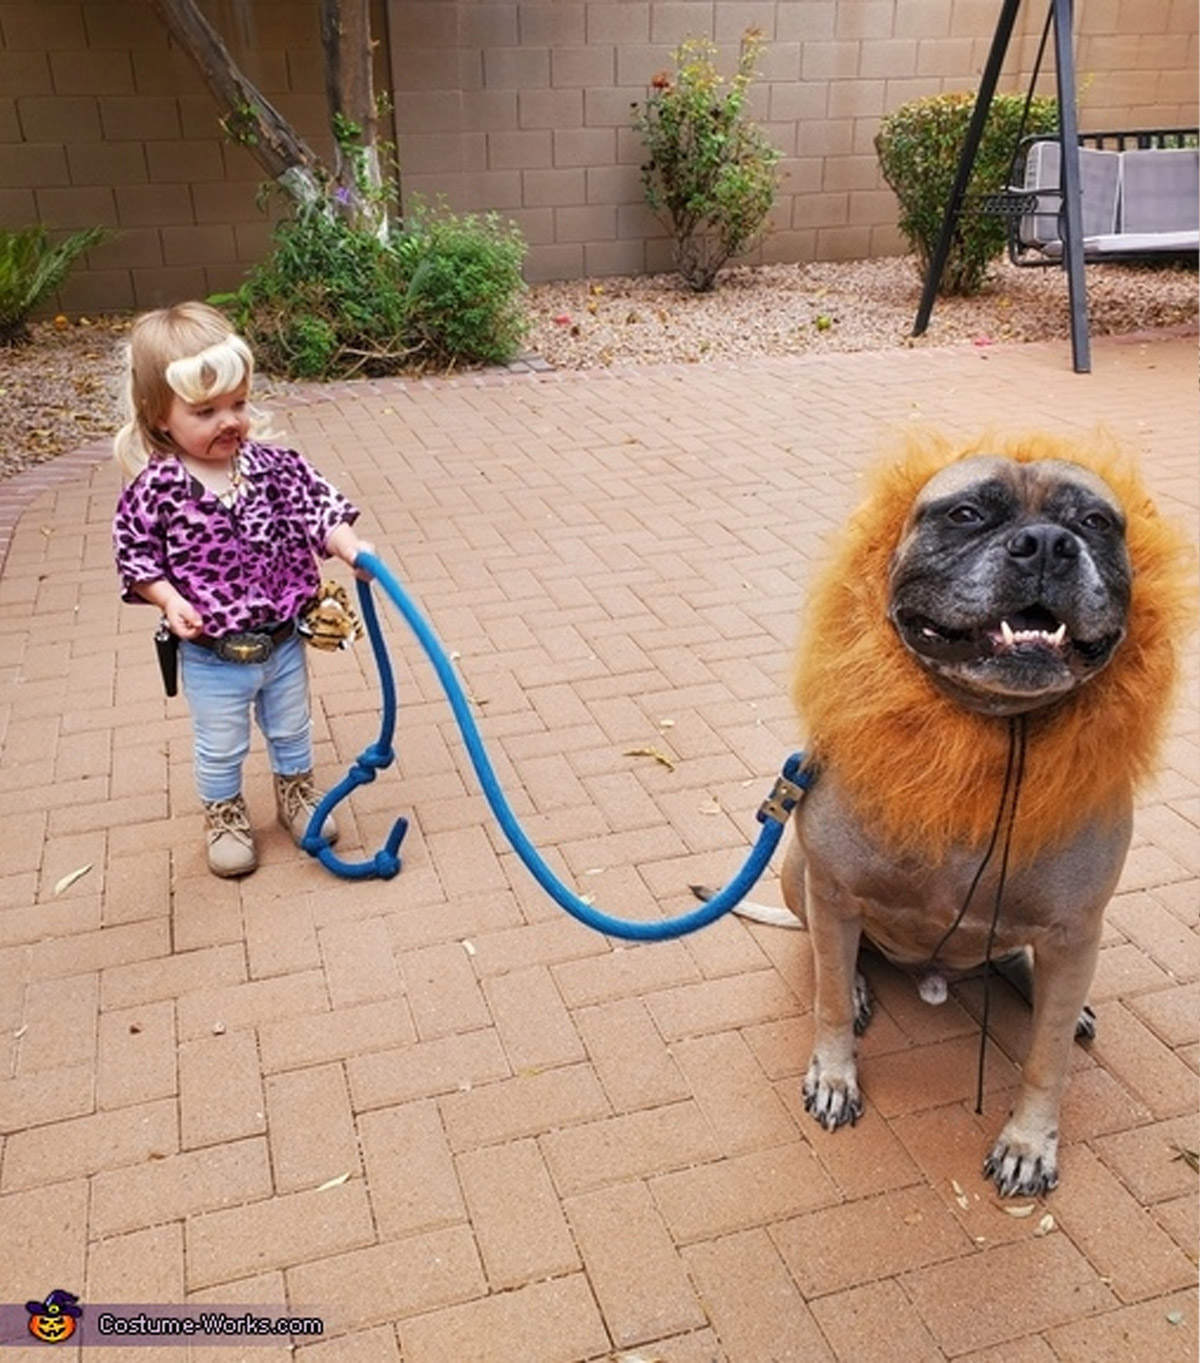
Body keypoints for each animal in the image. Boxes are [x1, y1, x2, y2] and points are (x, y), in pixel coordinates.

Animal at [780, 436, 1189, 1193]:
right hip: (797, 872)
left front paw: (1030, 1142)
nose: (1047, 544)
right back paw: (857, 980)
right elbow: (827, 996)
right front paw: (835, 1073)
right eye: (967, 512)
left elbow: (1047, 1059)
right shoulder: (833, 887)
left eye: (1095, 521)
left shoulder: (1075, 926)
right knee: (831, 952)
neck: (991, 737)